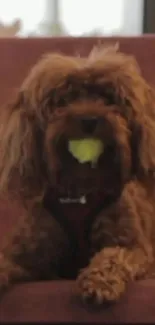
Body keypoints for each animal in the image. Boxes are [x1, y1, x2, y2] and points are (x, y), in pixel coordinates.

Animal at [0, 45, 155, 304]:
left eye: (108, 98)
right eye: (63, 100)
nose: (89, 119)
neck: (81, 187)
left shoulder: (136, 249)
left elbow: (114, 255)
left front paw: (99, 281)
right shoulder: (26, 254)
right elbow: (7, 260)